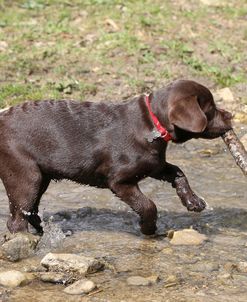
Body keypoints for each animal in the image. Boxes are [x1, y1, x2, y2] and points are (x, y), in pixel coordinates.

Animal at [0, 80, 232, 236]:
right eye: (210, 108)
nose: (231, 115)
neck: (153, 125)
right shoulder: (120, 181)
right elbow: (148, 205)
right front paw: (148, 228)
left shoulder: (155, 165)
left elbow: (178, 171)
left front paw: (193, 201)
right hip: (26, 175)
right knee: (17, 218)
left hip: (42, 176)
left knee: (31, 211)